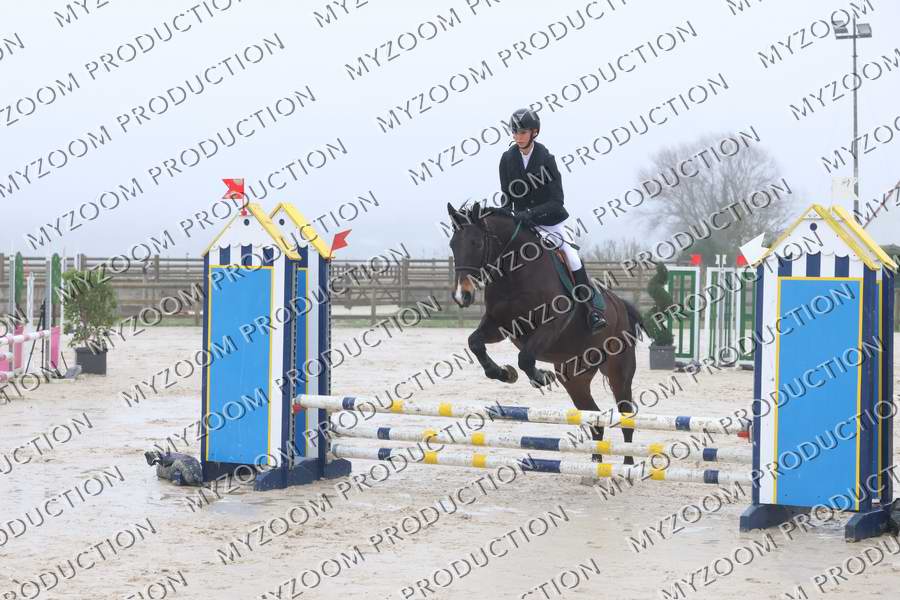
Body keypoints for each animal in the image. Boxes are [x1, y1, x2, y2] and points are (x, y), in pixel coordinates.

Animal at [447, 202, 643, 463]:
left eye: (476, 243)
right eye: (453, 244)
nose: (462, 295)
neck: (514, 274)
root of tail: (621, 305)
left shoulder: (552, 325)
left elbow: (525, 358)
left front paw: (541, 377)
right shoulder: (499, 326)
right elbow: (475, 343)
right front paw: (503, 373)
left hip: (618, 370)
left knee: (625, 416)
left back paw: (627, 465)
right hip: (574, 376)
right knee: (593, 417)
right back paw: (595, 464)